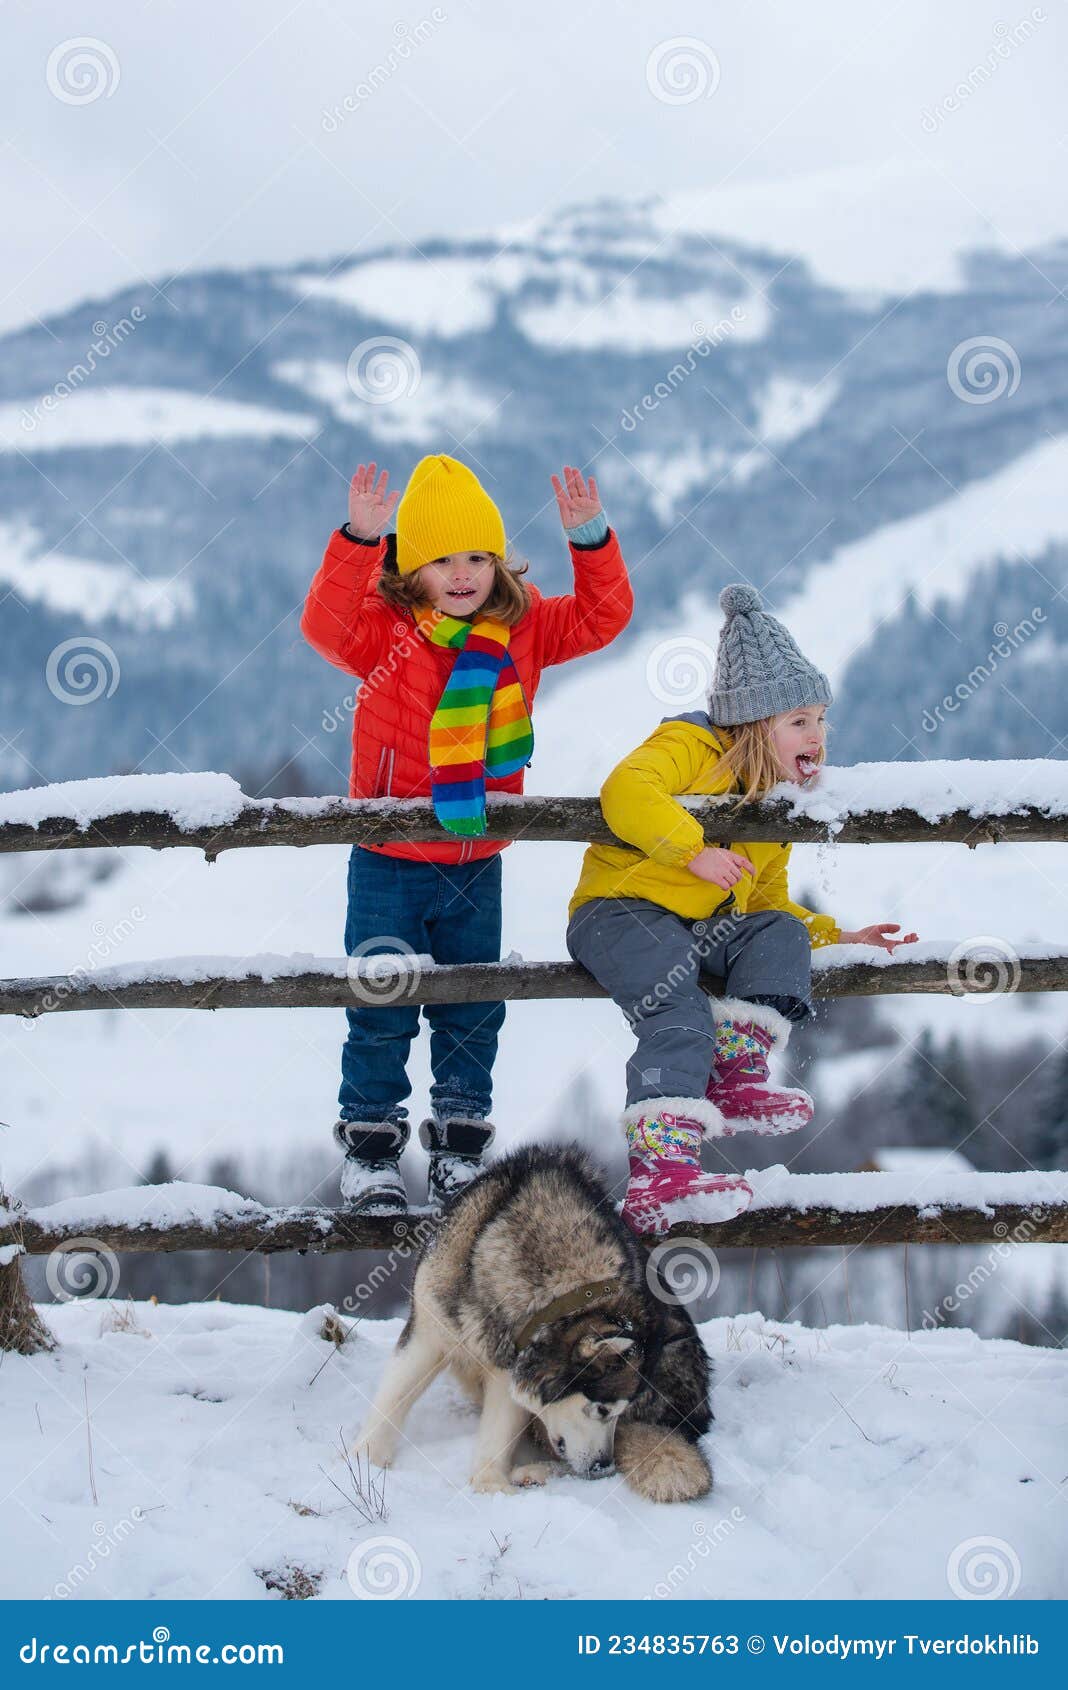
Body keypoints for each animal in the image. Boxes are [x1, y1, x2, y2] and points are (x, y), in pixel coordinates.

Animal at [354, 1142, 713, 1500]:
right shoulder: (428, 1332)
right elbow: (393, 1399)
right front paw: (363, 1460)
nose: (603, 1467)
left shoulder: (511, 1368)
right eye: (602, 1409)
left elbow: (498, 1432)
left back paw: (531, 1472)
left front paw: (489, 1486)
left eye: (618, 1412)